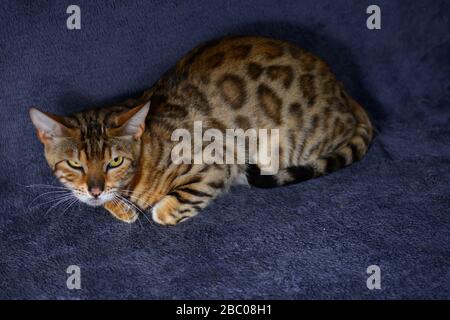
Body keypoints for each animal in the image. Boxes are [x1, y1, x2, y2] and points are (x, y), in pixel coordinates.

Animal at [29, 35, 372, 225]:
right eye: (75, 164)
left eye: (115, 161)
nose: (95, 189)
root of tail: (343, 91)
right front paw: (117, 206)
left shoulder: (216, 162)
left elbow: (166, 208)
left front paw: (146, 207)